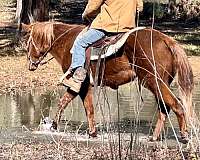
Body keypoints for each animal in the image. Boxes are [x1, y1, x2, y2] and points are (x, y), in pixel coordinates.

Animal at [21, 21, 194, 142]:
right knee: (164, 108)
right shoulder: (81, 85)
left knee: (176, 105)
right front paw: (56, 126)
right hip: (159, 83)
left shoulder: (81, 84)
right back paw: (154, 137)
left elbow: (86, 108)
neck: (67, 42)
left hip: (153, 81)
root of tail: (166, 40)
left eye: (27, 42)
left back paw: (184, 136)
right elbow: (67, 103)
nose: (30, 64)